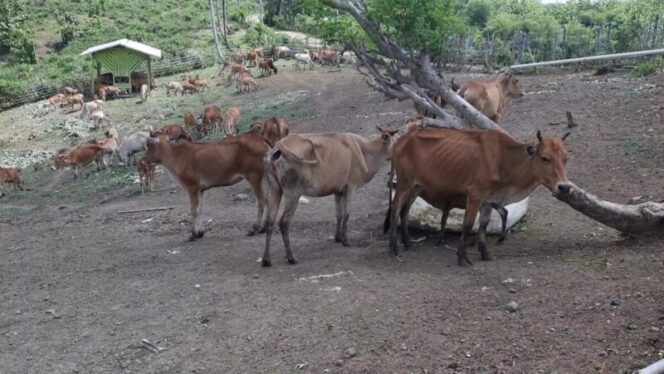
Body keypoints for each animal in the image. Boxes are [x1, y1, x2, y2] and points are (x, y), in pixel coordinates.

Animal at [143, 134, 272, 240]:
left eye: (149, 146)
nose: (144, 159)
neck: (177, 156)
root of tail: (260, 138)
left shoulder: (192, 186)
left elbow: (194, 210)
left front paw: (193, 234)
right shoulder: (201, 189)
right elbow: (200, 209)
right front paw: (201, 232)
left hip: (254, 175)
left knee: (261, 200)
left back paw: (255, 228)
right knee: (268, 199)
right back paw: (264, 227)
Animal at [264, 127, 400, 268]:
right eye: (398, 140)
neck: (366, 152)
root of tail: (278, 148)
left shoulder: (338, 190)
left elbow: (339, 214)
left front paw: (338, 237)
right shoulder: (351, 186)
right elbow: (347, 214)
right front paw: (346, 240)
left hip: (273, 187)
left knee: (269, 220)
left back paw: (266, 259)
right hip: (293, 191)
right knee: (284, 222)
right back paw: (291, 257)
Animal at [390, 129, 572, 266]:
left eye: (566, 158)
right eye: (545, 158)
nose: (564, 187)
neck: (504, 160)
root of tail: (403, 138)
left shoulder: (488, 200)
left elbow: (484, 224)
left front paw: (485, 253)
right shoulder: (475, 195)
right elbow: (468, 224)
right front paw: (462, 257)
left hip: (417, 186)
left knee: (405, 210)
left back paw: (407, 244)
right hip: (404, 183)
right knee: (395, 208)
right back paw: (394, 249)